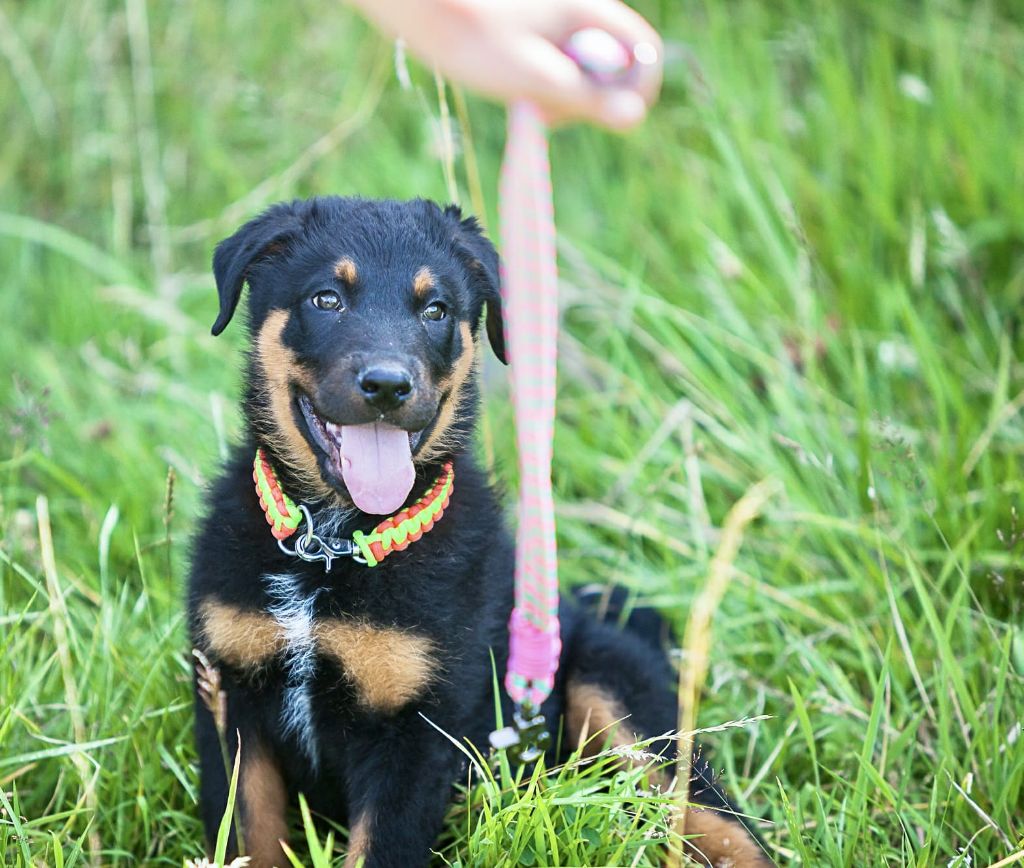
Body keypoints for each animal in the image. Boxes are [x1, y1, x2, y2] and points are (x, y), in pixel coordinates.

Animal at [187, 196, 772, 867]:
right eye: (326, 299)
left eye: (436, 309)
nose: (387, 386)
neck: (329, 544)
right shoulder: (230, 701)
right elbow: (246, 836)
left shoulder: (417, 730)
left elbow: (380, 847)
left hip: (619, 695)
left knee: (718, 823)